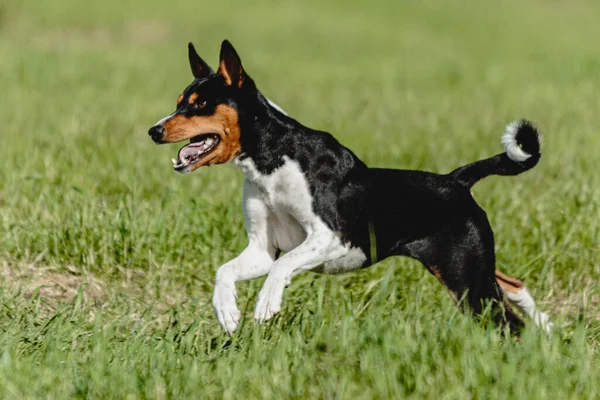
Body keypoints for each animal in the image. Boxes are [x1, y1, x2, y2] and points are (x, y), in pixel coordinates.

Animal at [148, 39, 552, 334]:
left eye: (200, 105)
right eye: (179, 103)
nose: (154, 131)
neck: (273, 161)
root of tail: (456, 180)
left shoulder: (330, 237)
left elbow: (283, 269)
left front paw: (266, 304)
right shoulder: (262, 249)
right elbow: (224, 272)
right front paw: (227, 313)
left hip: (467, 278)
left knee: (510, 324)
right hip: (472, 267)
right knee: (514, 286)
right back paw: (547, 331)